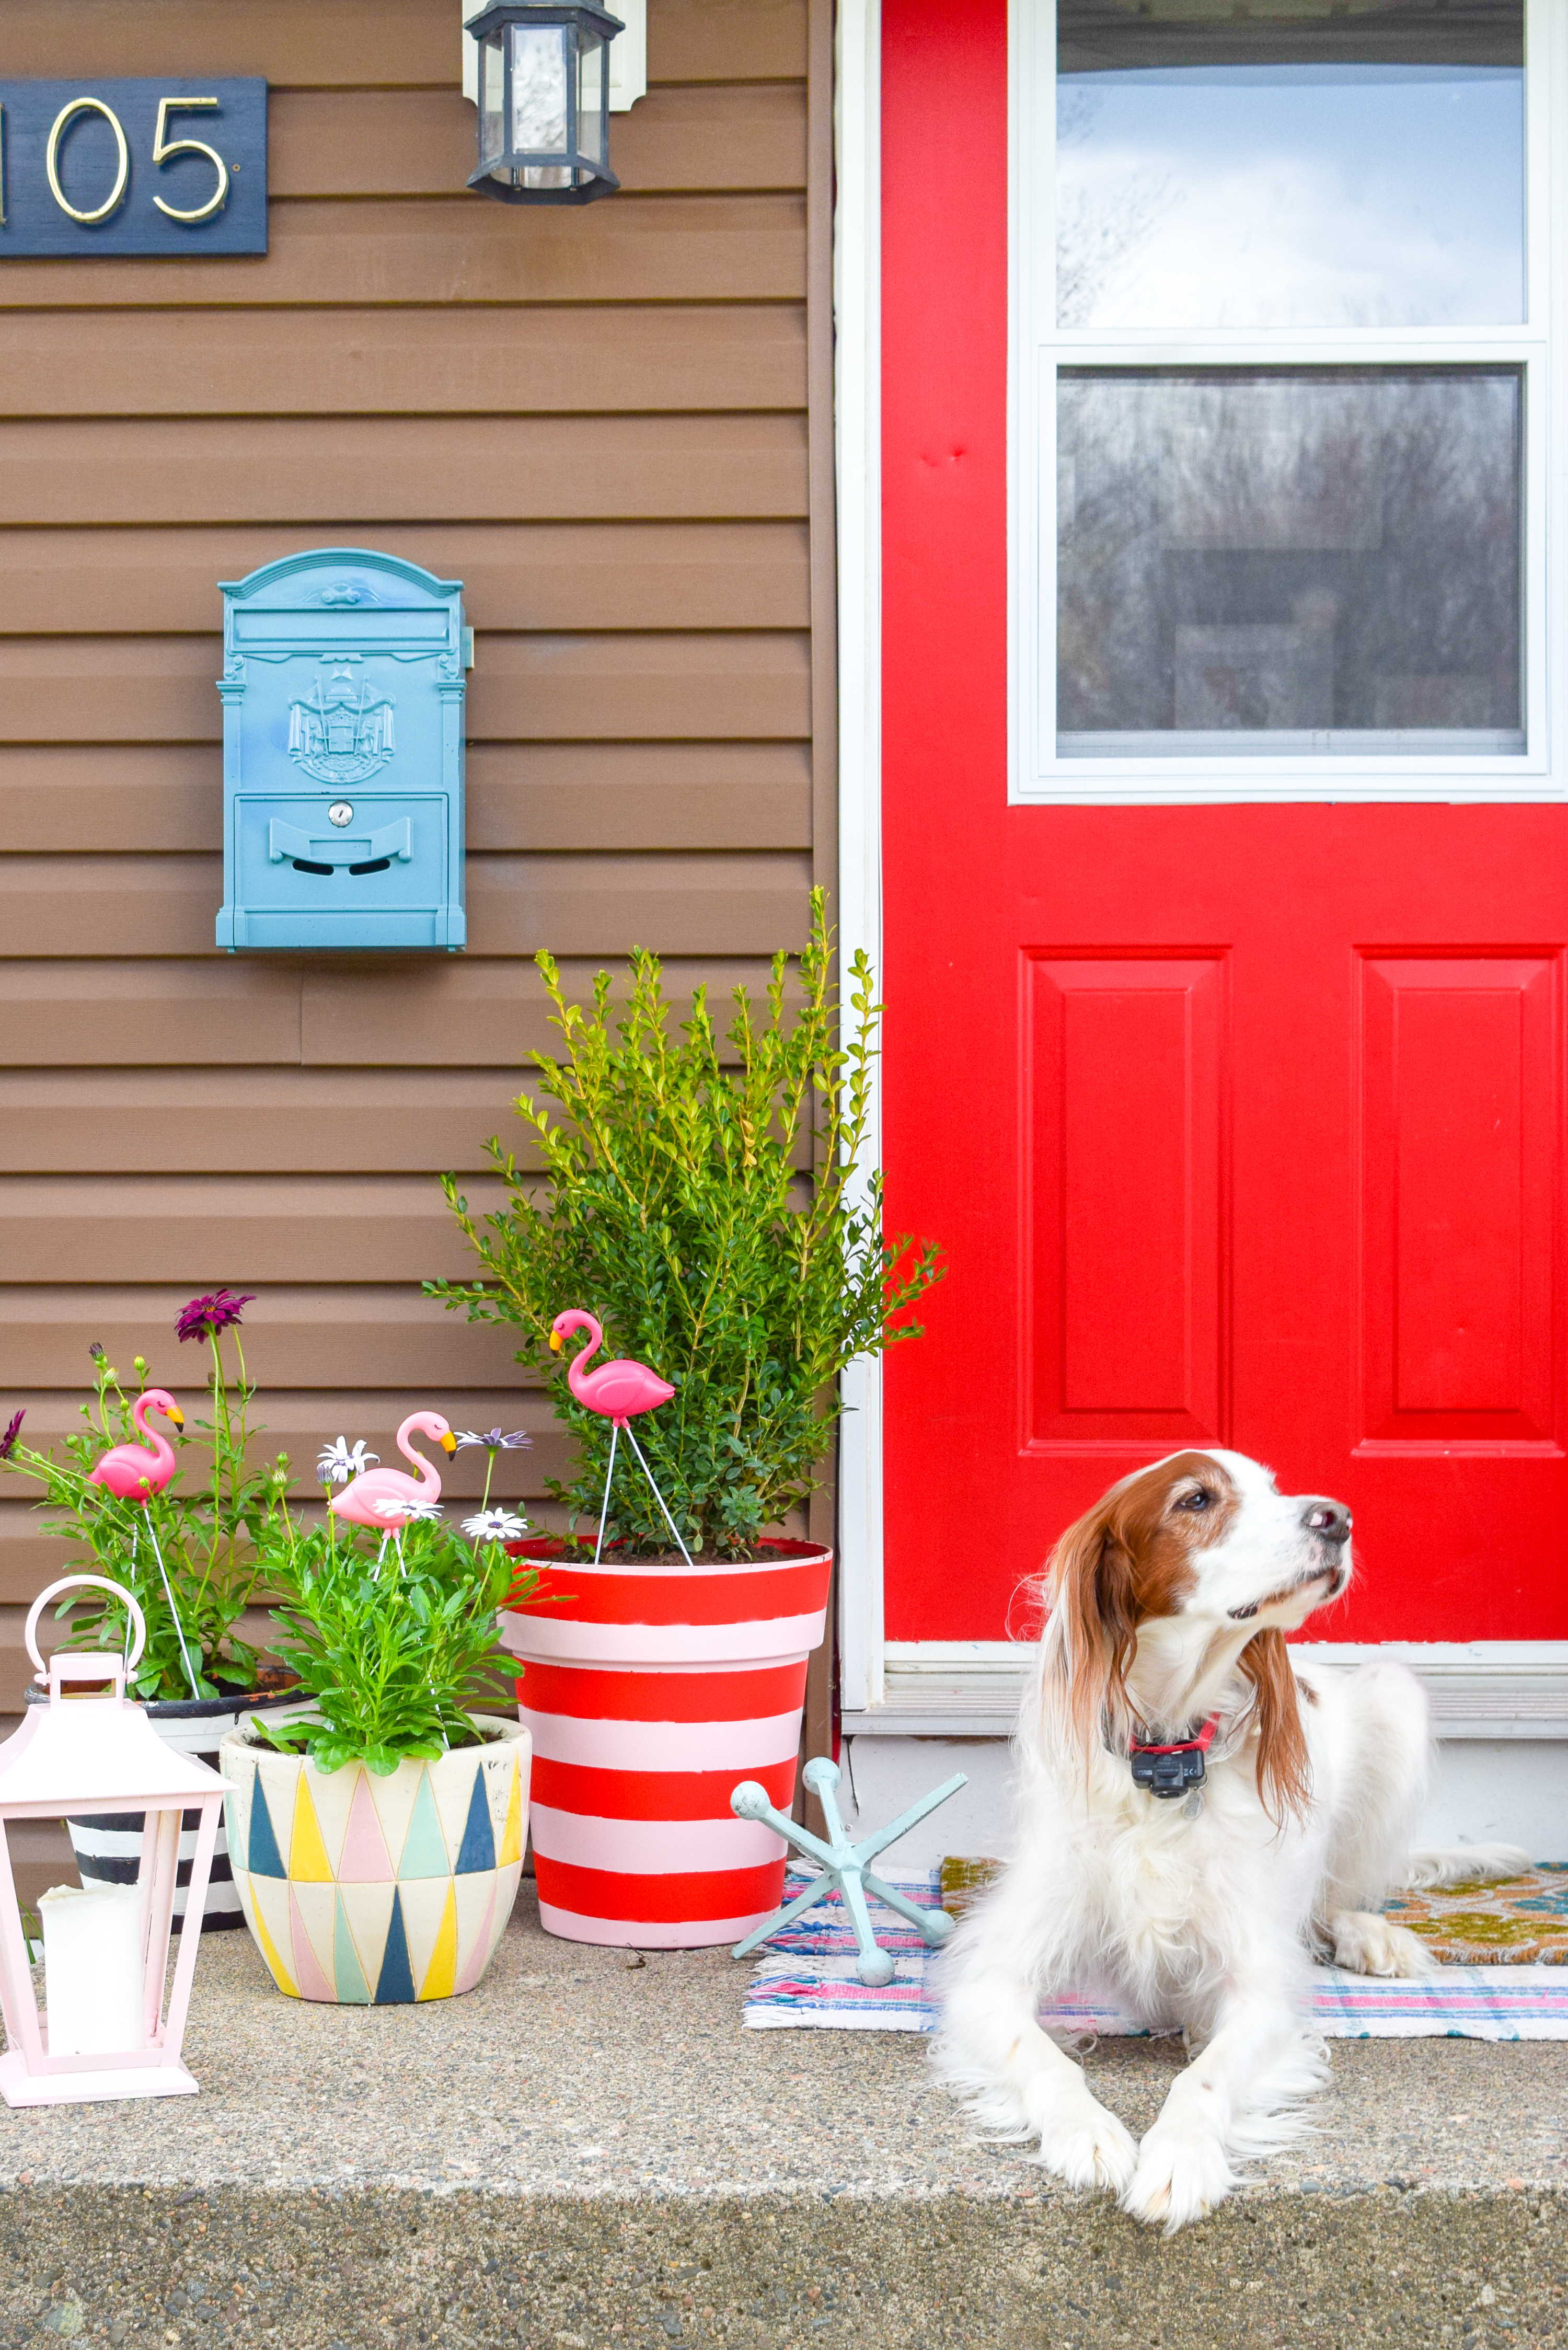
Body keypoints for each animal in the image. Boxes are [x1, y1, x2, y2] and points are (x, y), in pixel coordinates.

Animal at [940, 1447, 1523, 2237]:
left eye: (1274, 1489)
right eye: (1196, 1500)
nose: (1338, 1517)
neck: (1165, 1755)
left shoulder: (1259, 1987)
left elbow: (1205, 2080)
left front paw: (1179, 2159)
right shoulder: (991, 1978)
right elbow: (1044, 2058)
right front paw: (1087, 2132)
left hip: (1395, 1693)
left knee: (1333, 1900)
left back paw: (1371, 1938)